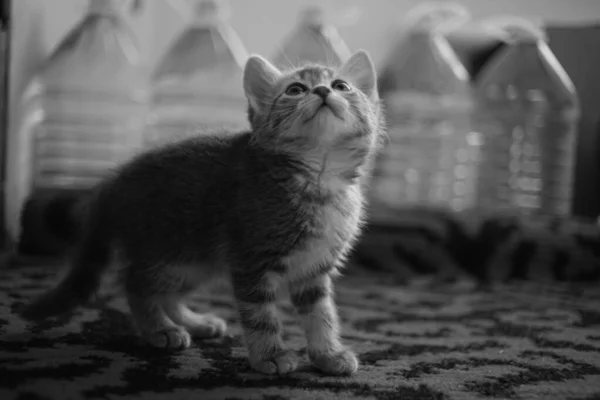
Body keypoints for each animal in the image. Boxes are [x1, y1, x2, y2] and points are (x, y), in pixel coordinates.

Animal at [22, 49, 384, 376]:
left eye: (341, 85)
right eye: (295, 89)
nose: (322, 91)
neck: (320, 179)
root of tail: (113, 182)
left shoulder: (314, 270)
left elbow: (321, 315)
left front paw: (328, 355)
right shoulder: (250, 259)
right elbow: (261, 317)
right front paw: (270, 356)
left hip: (198, 260)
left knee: (166, 293)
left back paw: (194, 322)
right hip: (168, 249)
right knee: (136, 284)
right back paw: (160, 329)